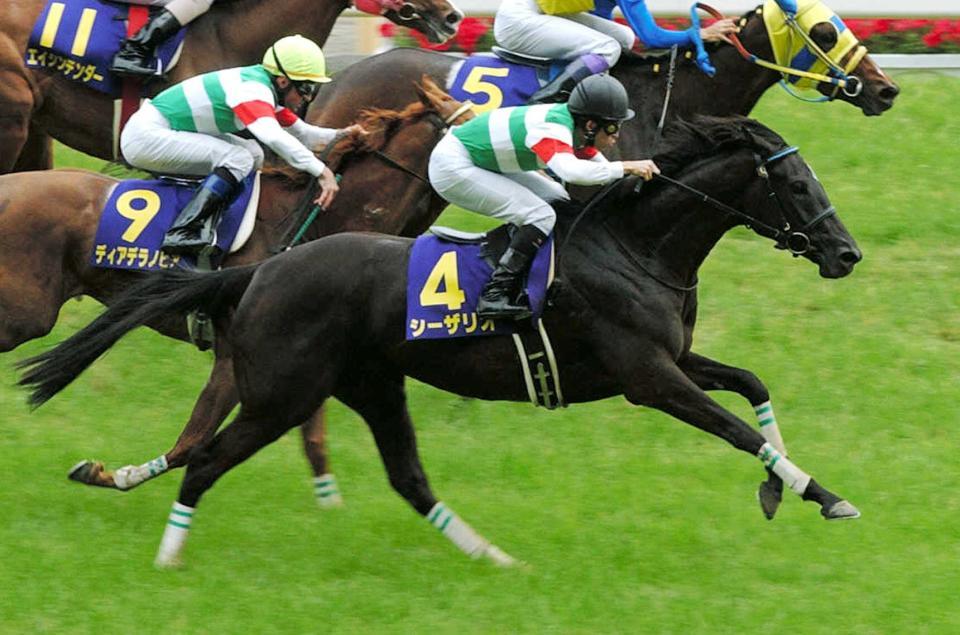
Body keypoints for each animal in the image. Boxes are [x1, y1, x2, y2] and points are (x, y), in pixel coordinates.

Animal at [1, 76, 473, 496]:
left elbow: (289, 435)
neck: (315, 221)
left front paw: (329, 498)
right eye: (473, 127)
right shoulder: (236, 349)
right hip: (26, 314)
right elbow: (193, 443)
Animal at [19, 115, 864, 567]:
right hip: (283, 394)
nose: (847, 253)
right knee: (206, 459)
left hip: (369, 384)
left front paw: (791, 488)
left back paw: (496, 557)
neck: (635, 247)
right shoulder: (647, 377)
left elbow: (752, 387)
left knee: (408, 479)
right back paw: (170, 554)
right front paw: (816, 493)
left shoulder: (673, 359)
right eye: (797, 186)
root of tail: (261, 270)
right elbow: (732, 425)